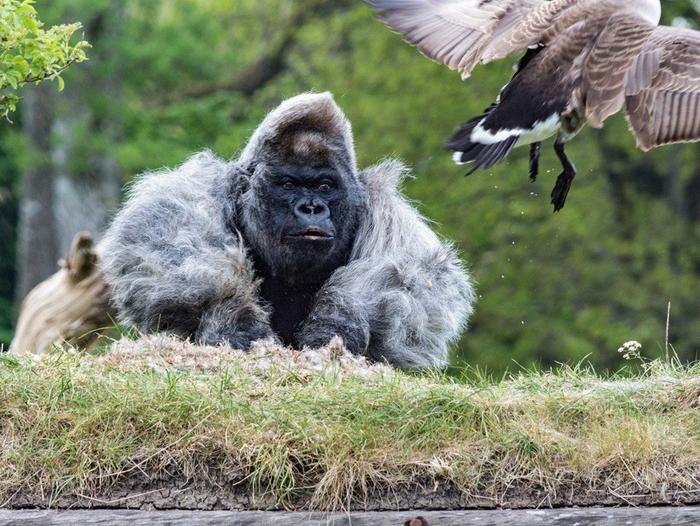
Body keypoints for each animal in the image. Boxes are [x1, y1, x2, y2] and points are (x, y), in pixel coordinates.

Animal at [101, 93, 476, 370]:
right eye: (289, 184)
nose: (311, 208)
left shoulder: (386, 213)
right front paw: (234, 318)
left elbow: (413, 278)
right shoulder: (198, 192)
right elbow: (165, 239)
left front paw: (337, 322)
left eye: (324, 186)